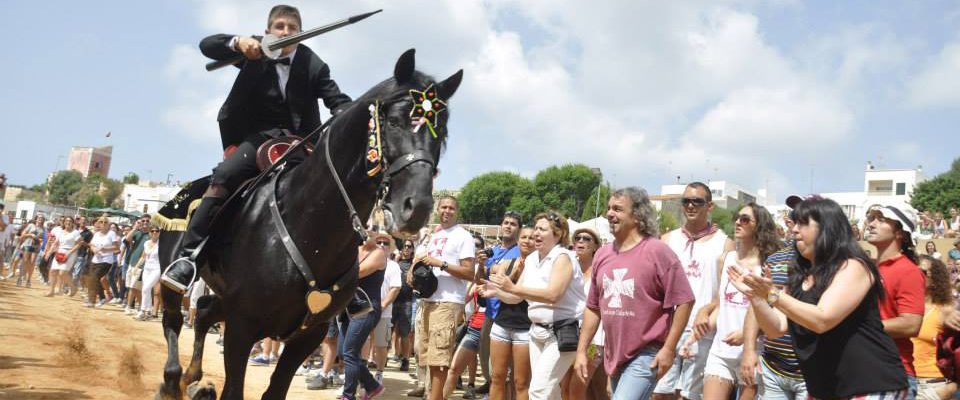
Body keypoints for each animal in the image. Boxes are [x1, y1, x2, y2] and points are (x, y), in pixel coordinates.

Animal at [156, 50, 464, 400]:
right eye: (395, 121)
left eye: (443, 134)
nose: (418, 207)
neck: (310, 227)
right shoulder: (242, 326)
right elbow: (234, 389)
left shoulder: (307, 333)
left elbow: (275, 390)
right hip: (182, 276)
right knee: (173, 319)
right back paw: (174, 380)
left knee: (204, 309)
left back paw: (192, 378)